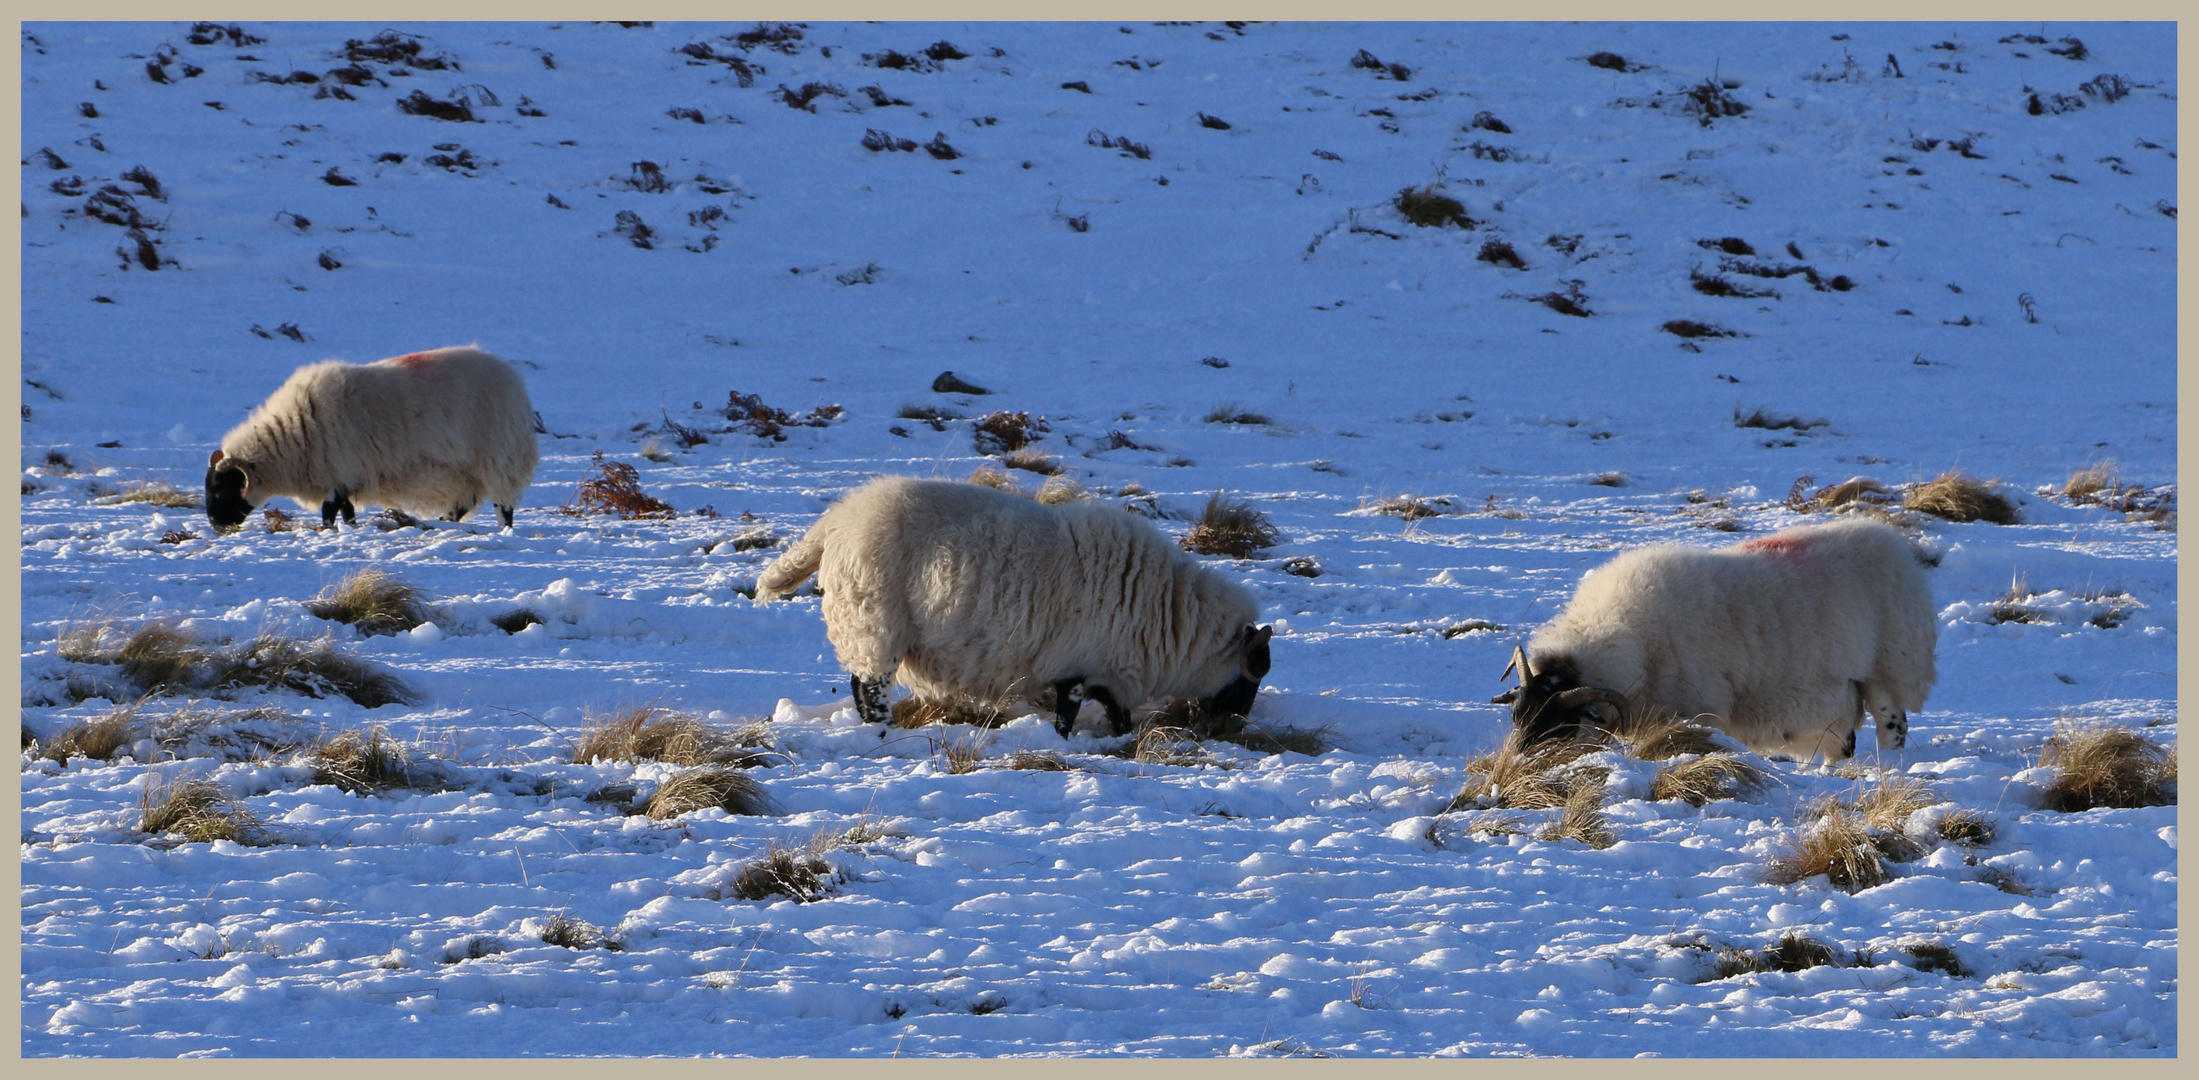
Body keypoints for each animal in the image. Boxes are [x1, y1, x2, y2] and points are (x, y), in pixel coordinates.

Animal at [204, 347, 538, 532]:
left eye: (221, 490)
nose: (216, 526)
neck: (293, 435)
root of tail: (516, 383)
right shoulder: (344, 477)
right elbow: (347, 511)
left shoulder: (340, 470)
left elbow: (329, 512)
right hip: (468, 472)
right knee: (462, 505)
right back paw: (441, 523)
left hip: (498, 455)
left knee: (503, 506)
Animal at [756, 477, 1275, 739]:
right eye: (1250, 679)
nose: (1233, 728)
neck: (1171, 617)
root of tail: (837, 521)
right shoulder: (1076, 664)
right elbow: (1068, 713)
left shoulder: (1106, 667)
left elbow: (1116, 714)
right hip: (873, 623)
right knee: (868, 690)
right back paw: (883, 735)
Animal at [1495, 516, 1943, 761]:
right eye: (1518, 717)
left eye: (1558, 727)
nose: (1515, 769)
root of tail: (1890, 540)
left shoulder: (1698, 710)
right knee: (1839, 741)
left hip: (1890, 666)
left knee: (1892, 727)